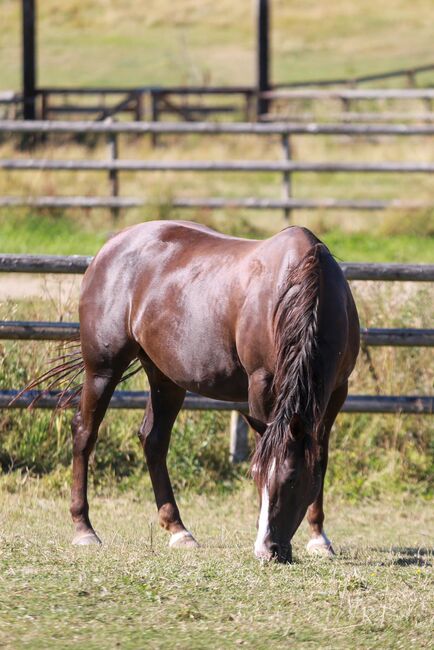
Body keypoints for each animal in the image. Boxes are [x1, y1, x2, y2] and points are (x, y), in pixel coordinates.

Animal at [28, 220, 360, 560]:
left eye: (293, 479)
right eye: (255, 476)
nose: (269, 550)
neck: (306, 288)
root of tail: (109, 248)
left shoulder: (338, 390)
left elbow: (320, 455)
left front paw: (319, 537)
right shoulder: (261, 383)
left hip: (165, 377)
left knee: (153, 440)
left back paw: (178, 529)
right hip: (102, 369)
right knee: (84, 432)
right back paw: (84, 528)